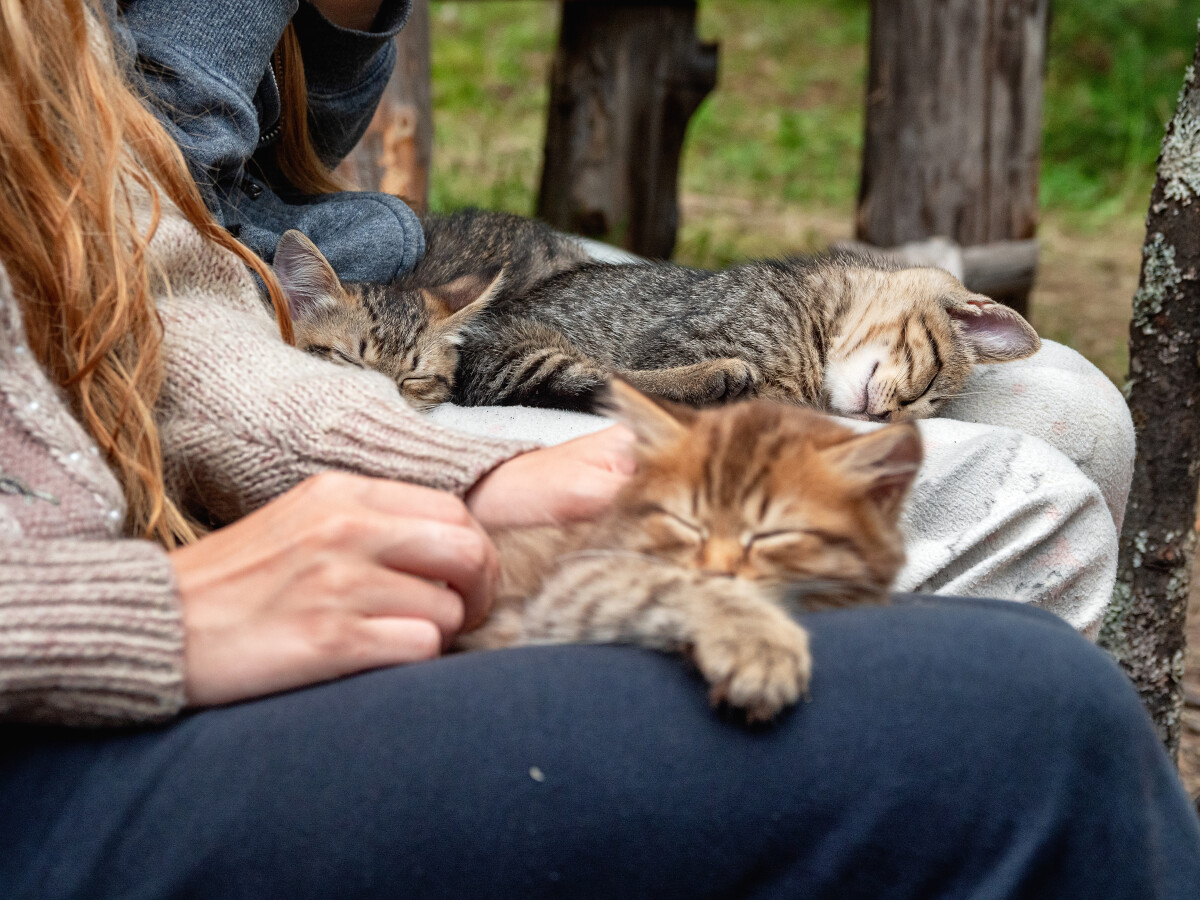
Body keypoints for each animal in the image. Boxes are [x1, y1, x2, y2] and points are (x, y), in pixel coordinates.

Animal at [458, 384, 916, 724]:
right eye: (688, 524)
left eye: (771, 535)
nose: (717, 570)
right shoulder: (573, 578)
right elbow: (672, 583)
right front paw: (757, 641)